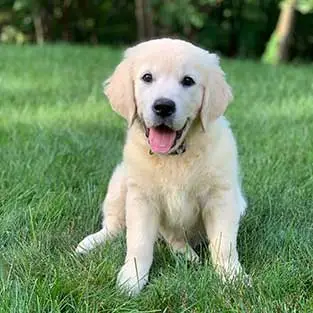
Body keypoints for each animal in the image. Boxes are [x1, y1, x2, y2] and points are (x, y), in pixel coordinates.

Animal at [75, 37, 246, 294]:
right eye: (147, 77)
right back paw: (90, 243)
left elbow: (224, 243)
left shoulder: (221, 196)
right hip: (120, 181)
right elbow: (138, 243)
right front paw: (131, 279)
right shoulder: (141, 198)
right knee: (115, 226)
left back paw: (187, 255)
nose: (163, 106)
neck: (173, 157)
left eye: (188, 81)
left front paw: (233, 277)